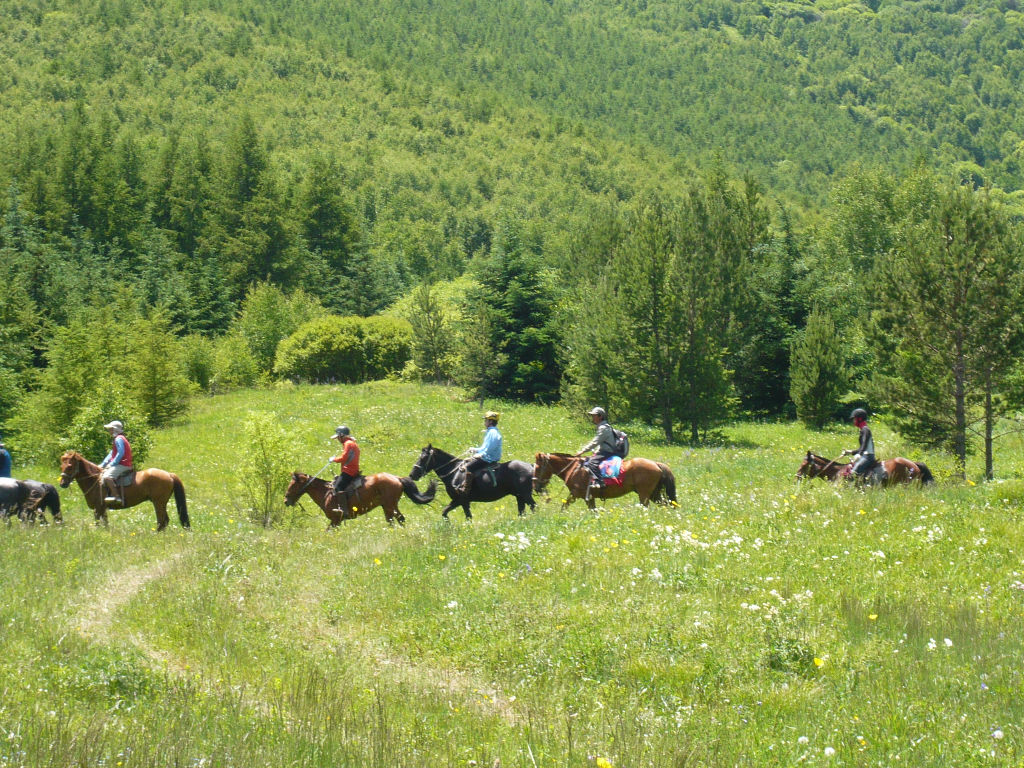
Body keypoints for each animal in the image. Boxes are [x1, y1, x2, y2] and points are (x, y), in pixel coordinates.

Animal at [58, 451, 190, 530]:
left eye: (70, 466)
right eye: (61, 466)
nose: (62, 484)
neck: (95, 480)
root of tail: (169, 474)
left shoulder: (98, 509)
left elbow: (98, 524)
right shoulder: (103, 509)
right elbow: (106, 524)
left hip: (158, 503)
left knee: (162, 521)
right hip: (161, 503)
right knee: (165, 521)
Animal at [283, 471, 437, 527]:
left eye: (293, 485)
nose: (286, 500)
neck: (326, 492)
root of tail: (397, 478)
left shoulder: (335, 520)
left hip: (389, 506)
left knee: (396, 520)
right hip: (389, 506)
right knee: (398, 519)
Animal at [532, 452, 677, 510]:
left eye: (538, 467)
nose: (535, 487)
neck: (573, 469)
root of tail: (656, 464)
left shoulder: (575, 495)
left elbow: (564, 506)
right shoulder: (589, 498)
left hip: (645, 495)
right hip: (654, 494)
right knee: (666, 505)